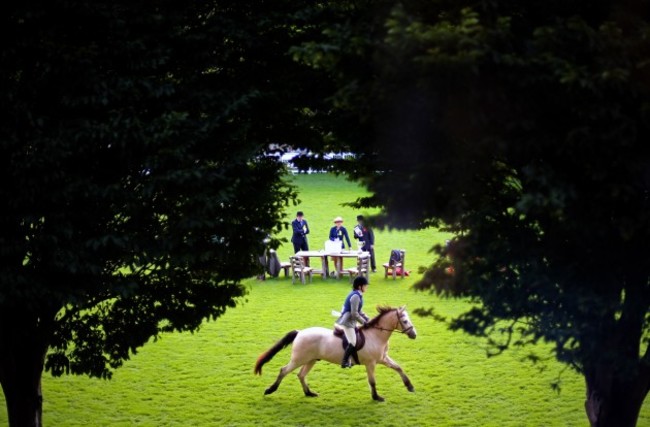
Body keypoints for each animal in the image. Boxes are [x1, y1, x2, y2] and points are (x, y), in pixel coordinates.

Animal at [253, 306, 416, 402]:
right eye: (405, 321)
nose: (414, 335)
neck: (376, 335)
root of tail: (299, 332)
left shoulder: (383, 359)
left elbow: (398, 367)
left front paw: (410, 386)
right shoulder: (370, 363)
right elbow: (372, 381)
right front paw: (376, 397)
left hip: (311, 360)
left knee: (301, 375)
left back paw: (309, 393)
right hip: (299, 359)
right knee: (284, 370)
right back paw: (270, 390)